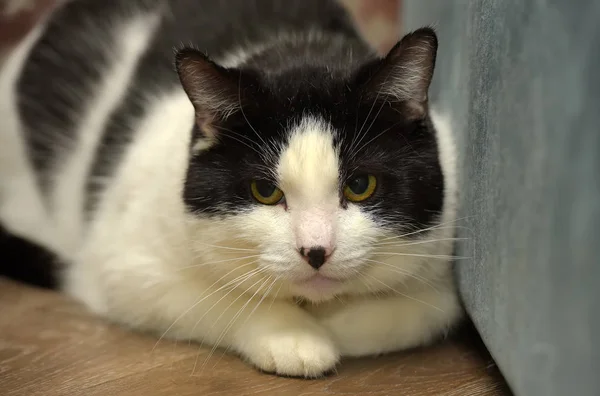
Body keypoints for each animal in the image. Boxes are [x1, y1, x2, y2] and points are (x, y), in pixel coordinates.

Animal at [0, 0, 460, 378]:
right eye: (265, 191)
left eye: (361, 185)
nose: (316, 251)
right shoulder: (123, 266)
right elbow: (220, 300)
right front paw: (295, 337)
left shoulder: (442, 281)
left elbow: (407, 316)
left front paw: (339, 326)